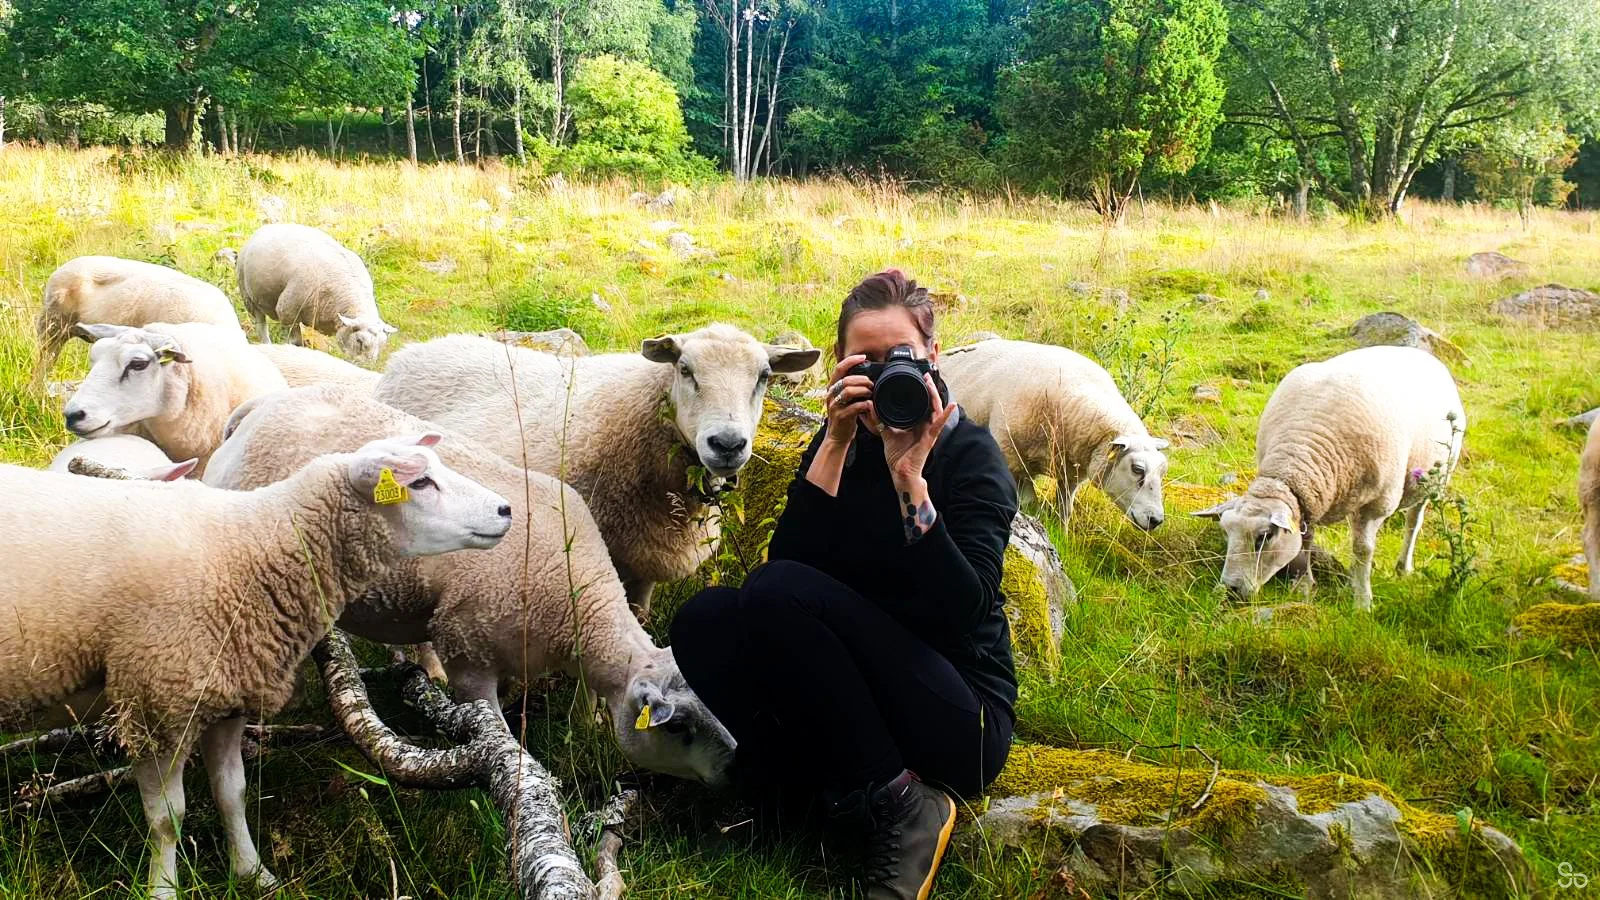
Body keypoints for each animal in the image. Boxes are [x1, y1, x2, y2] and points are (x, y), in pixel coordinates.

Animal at [206, 384, 738, 785]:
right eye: (680, 727)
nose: (733, 772)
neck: (575, 602)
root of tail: (259, 409)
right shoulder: (471, 655)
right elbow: (496, 733)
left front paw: (587, 724)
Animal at [236, 223, 395, 363]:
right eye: (359, 341)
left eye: (381, 345)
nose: (367, 365)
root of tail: (268, 226)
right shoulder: (288, 312)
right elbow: (295, 342)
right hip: (249, 296)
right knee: (261, 326)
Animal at [940, 338, 1170, 531]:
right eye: (1137, 469)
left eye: (1163, 471)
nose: (1156, 520)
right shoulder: (1010, 456)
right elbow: (1028, 501)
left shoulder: (1071, 475)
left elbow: (1065, 510)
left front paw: (1062, 534)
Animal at [1194, 345, 1466, 610]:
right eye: (1226, 532)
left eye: (1264, 537)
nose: (1230, 590)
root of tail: (1417, 352)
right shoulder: (1308, 502)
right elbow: (1306, 542)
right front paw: (1304, 586)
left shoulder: (1376, 505)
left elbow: (1363, 550)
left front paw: (1362, 604)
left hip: (1437, 478)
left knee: (1413, 521)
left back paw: (1402, 567)